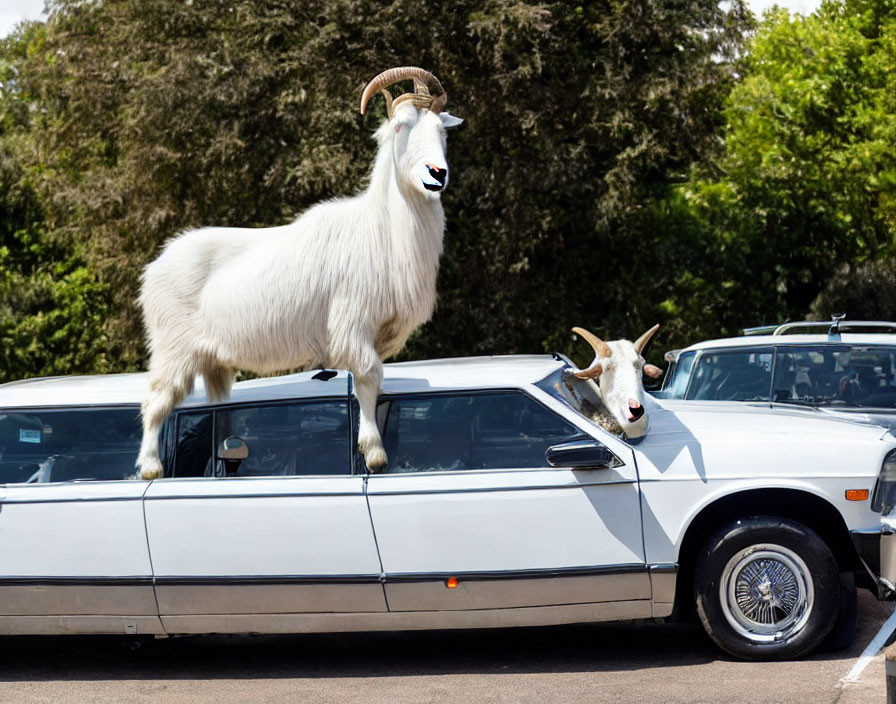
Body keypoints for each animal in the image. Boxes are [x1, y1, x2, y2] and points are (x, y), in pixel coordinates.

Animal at [138, 67, 468, 478]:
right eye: (400, 126)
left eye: (442, 131)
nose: (437, 174)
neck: (381, 228)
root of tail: (154, 268)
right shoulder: (352, 325)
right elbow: (369, 376)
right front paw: (375, 453)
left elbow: (370, 387)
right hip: (172, 348)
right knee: (155, 400)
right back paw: (150, 468)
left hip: (211, 358)